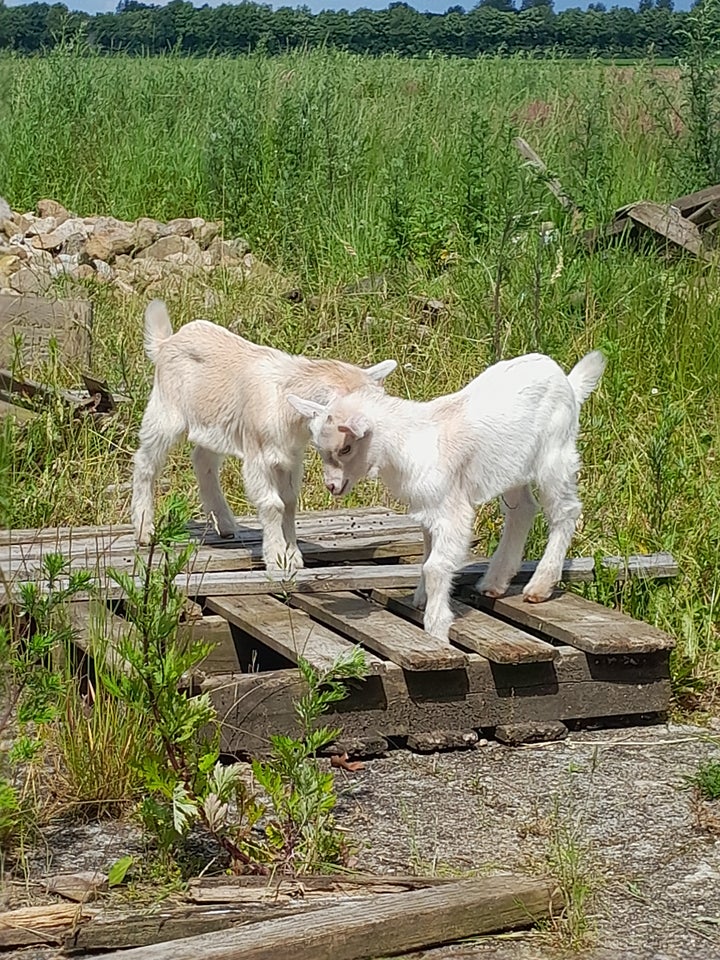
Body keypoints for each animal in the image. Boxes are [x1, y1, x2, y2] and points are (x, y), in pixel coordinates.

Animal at [132, 300, 396, 568]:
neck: (286, 408)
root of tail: (166, 342)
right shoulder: (258, 456)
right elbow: (272, 504)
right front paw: (277, 557)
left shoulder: (290, 458)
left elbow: (289, 502)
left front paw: (293, 556)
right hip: (165, 411)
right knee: (145, 462)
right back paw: (145, 530)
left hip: (213, 424)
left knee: (203, 460)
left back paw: (225, 524)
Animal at [290, 348, 604, 640]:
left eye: (345, 448)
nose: (332, 486)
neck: (408, 443)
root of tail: (567, 381)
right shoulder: (428, 509)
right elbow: (427, 555)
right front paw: (421, 599)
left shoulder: (450, 511)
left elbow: (436, 566)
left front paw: (436, 625)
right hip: (512, 467)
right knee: (523, 509)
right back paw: (495, 581)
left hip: (555, 454)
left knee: (565, 511)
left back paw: (540, 585)